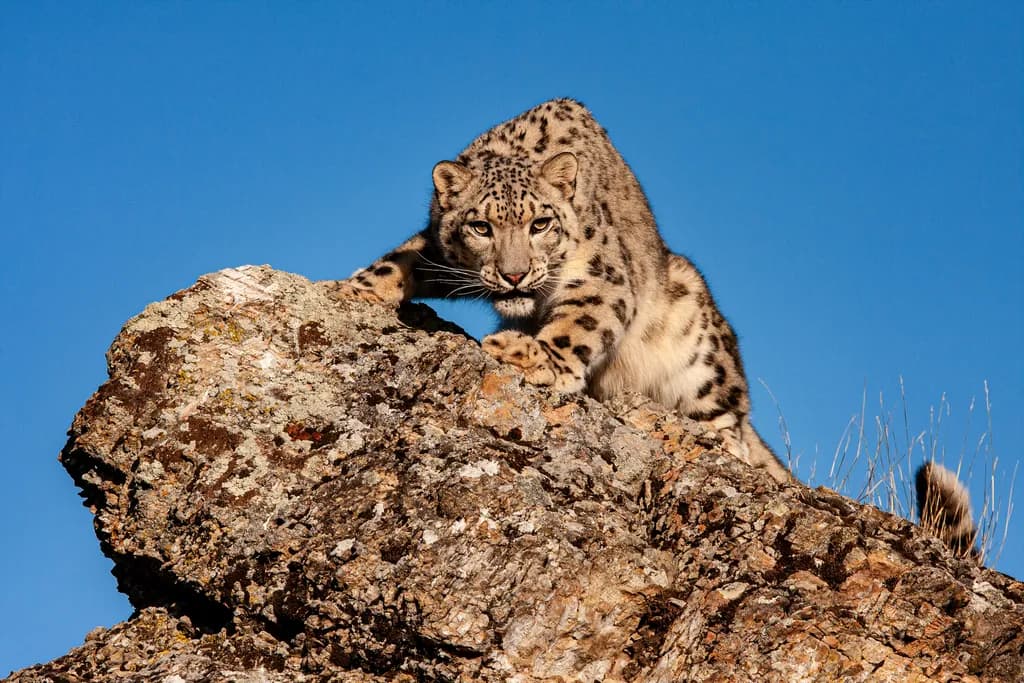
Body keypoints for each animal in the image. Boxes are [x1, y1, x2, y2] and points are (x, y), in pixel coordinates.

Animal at [337, 98, 790, 483]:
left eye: (540, 223)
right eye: (481, 227)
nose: (514, 275)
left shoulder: (601, 277)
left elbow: (578, 324)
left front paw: (529, 355)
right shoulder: (437, 251)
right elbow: (403, 259)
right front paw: (353, 288)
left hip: (700, 344)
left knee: (732, 419)